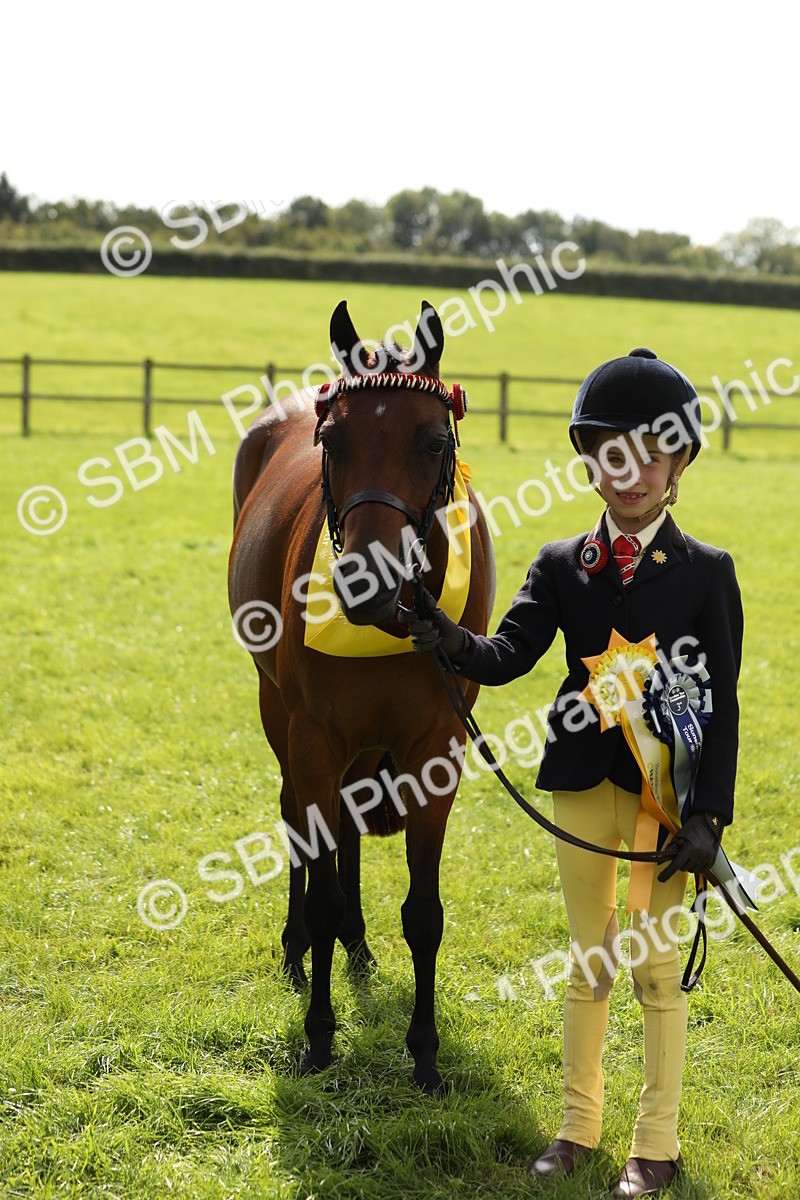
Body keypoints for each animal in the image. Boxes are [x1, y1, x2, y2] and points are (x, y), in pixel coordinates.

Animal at [227, 300, 496, 1094]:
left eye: (433, 439)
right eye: (333, 438)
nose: (368, 580)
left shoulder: (438, 748)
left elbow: (425, 913)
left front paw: (426, 1052)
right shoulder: (313, 735)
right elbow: (317, 882)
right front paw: (319, 1036)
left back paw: (357, 941)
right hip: (278, 714)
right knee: (299, 821)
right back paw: (301, 946)